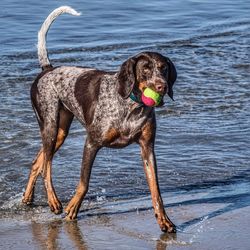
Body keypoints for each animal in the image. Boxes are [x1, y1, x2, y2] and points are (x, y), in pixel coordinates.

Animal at [22, 5, 177, 233]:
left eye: (163, 68)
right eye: (145, 69)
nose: (162, 87)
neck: (131, 107)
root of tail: (48, 70)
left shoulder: (147, 149)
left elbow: (156, 190)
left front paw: (163, 219)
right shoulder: (91, 143)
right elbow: (84, 182)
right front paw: (73, 208)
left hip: (60, 132)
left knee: (36, 163)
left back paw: (27, 197)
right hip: (49, 126)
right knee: (46, 168)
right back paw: (53, 201)